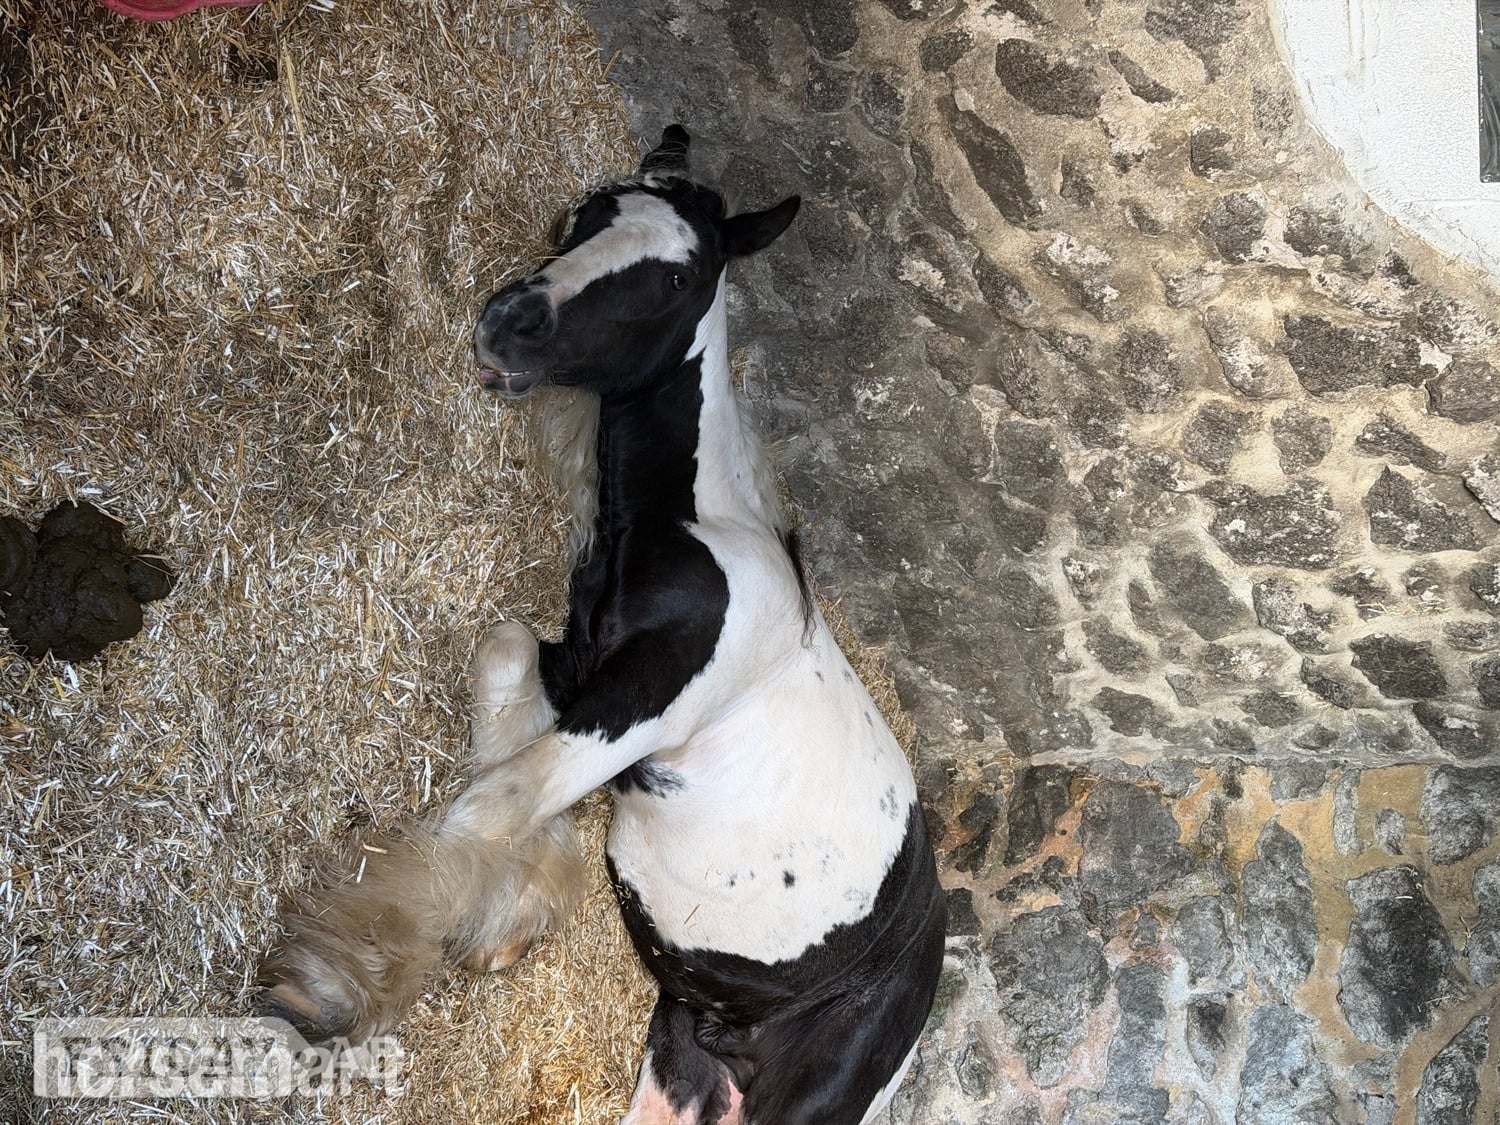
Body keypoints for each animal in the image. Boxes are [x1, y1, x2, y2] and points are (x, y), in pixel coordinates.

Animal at [259, 125, 946, 1125]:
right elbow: (504, 669)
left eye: (676, 277)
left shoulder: (640, 706)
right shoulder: (577, 663)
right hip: (678, 1069)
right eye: (586, 213)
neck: (695, 529)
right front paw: (506, 919)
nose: (510, 320)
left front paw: (330, 988)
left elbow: (493, 800)